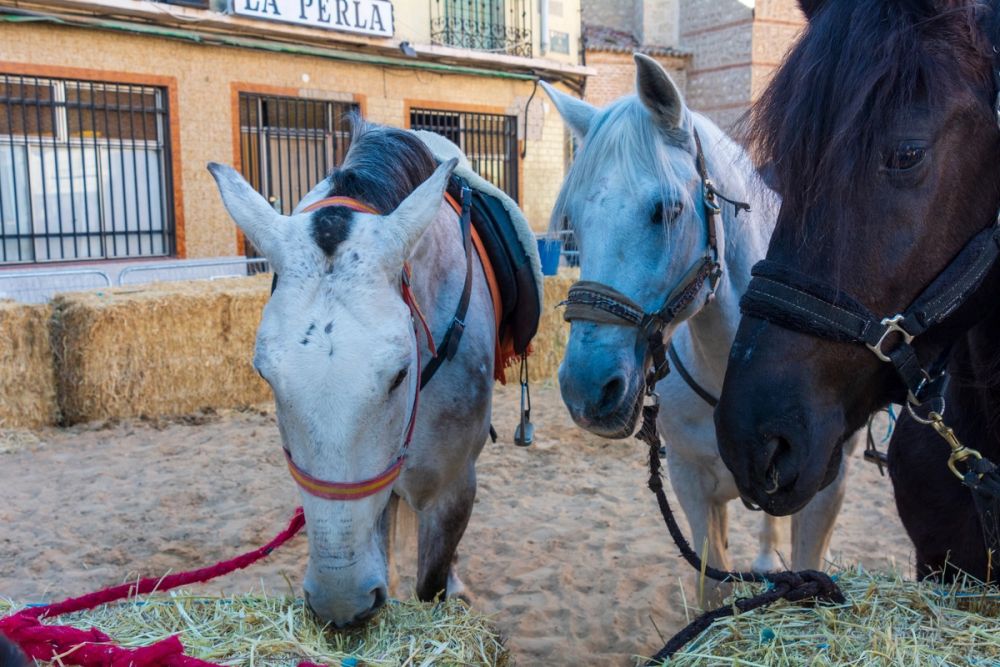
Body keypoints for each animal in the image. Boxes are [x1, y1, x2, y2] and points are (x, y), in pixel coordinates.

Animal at [541, 54, 862, 600]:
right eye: (576, 221)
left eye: (666, 210)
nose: (586, 390)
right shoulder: (691, 485)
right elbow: (712, 589)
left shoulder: (825, 488)